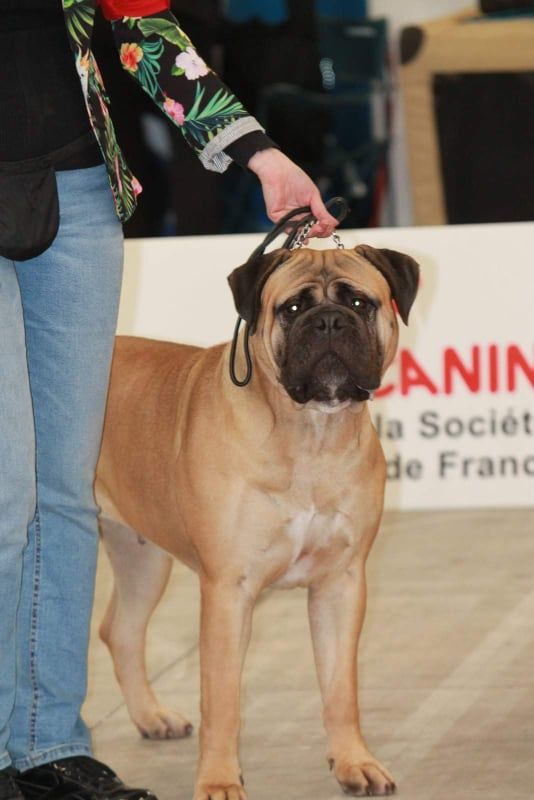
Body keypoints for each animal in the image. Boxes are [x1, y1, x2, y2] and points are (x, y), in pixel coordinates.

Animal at [97, 245, 422, 800]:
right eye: (291, 309)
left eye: (360, 302)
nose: (329, 322)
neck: (310, 433)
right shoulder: (229, 589)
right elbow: (222, 700)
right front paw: (219, 781)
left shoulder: (341, 584)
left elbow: (341, 688)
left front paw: (353, 762)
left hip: (143, 558)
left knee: (120, 630)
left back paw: (153, 717)